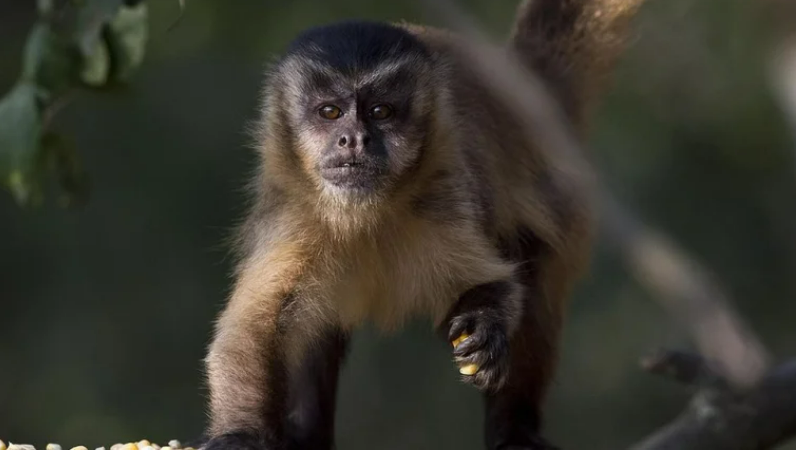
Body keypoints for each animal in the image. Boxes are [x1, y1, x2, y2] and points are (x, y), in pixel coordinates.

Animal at [202, 1, 644, 449]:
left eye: (380, 112)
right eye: (330, 112)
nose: (353, 139)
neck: (366, 214)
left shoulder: (445, 196)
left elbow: (497, 284)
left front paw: (485, 332)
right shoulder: (292, 216)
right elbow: (253, 330)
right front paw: (240, 435)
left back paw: (516, 429)